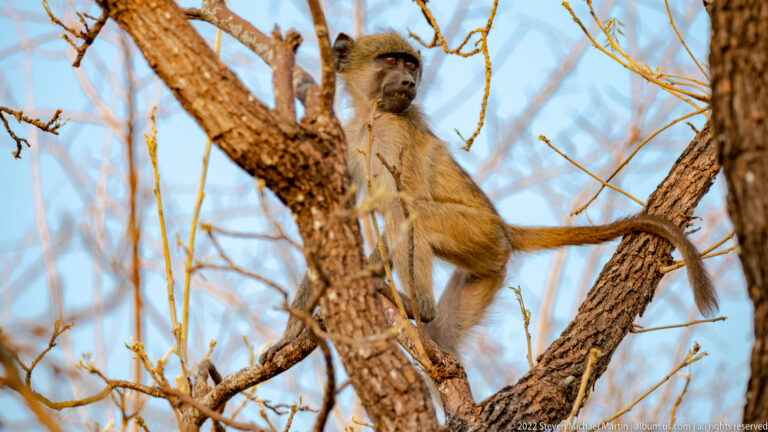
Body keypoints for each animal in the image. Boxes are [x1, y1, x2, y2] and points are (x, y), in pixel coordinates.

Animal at [259, 31, 718, 363]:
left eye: (411, 65)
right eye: (391, 61)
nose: (408, 81)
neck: (374, 116)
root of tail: (503, 226)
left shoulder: (394, 137)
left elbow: (402, 205)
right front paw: (290, 335)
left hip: (477, 233)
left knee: (408, 214)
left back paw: (414, 305)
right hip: (487, 263)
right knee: (444, 329)